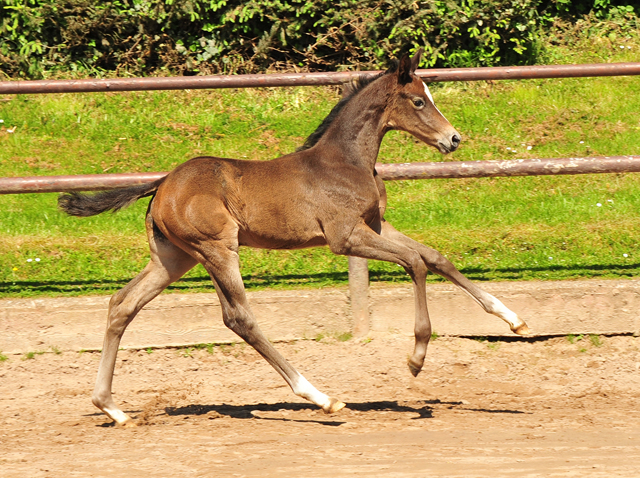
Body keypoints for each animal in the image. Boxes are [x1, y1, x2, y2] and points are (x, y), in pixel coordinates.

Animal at [60, 51, 528, 426]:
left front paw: (514, 319)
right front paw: (415, 359)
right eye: (418, 100)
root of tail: (161, 185)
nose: (454, 139)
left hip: (173, 258)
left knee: (122, 305)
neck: (346, 161)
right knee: (239, 319)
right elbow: (415, 263)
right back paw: (322, 398)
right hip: (216, 249)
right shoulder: (345, 237)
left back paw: (112, 408)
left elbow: (435, 257)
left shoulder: (376, 225)